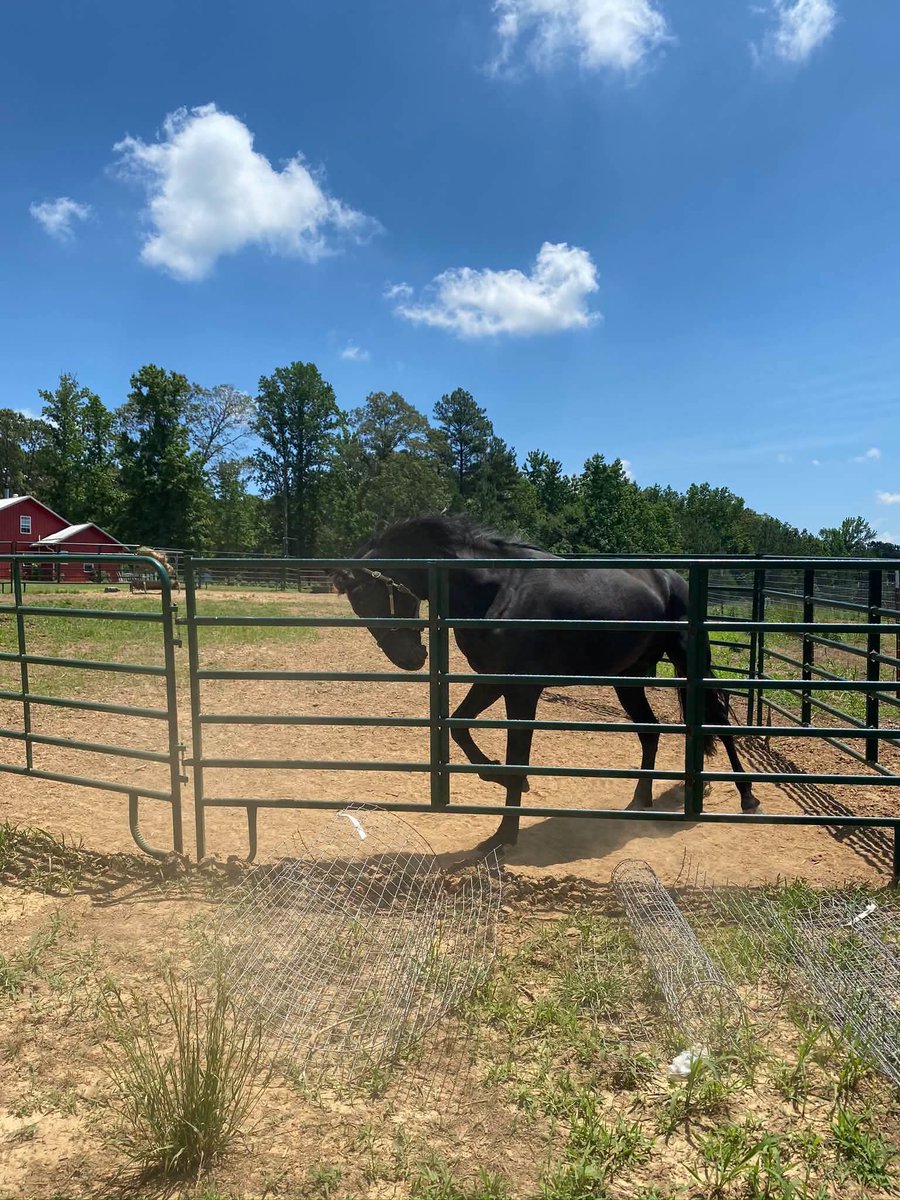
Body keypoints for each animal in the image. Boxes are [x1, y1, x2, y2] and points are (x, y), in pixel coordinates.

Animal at [332, 516, 760, 849]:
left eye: (373, 596)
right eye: (357, 605)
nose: (408, 659)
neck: (498, 590)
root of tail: (675, 579)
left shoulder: (522, 690)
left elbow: (517, 755)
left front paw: (504, 835)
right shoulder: (492, 680)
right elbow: (460, 727)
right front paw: (497, 774)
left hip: (689, 665)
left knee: (718, 723)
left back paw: (747, 797)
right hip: (628, 677)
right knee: (650, 732)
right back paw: (640, 801)